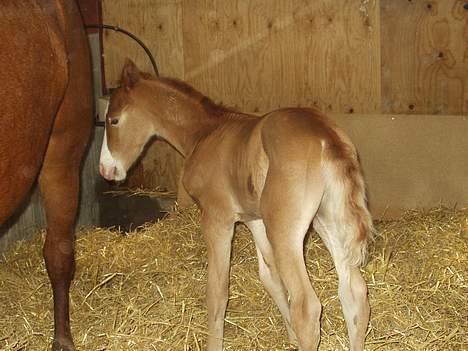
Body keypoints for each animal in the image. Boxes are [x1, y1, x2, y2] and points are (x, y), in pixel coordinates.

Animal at [98, 59, 372, 350]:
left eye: (113, 120)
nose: (105, 169)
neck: (203, 134)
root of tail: (324, 135)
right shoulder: (255, 220)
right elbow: (270, 276)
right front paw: (289, 335)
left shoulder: (217, 220)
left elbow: (217, 294)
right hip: (329, 221)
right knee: (354, 293)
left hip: (286, 232)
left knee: (307, 307)